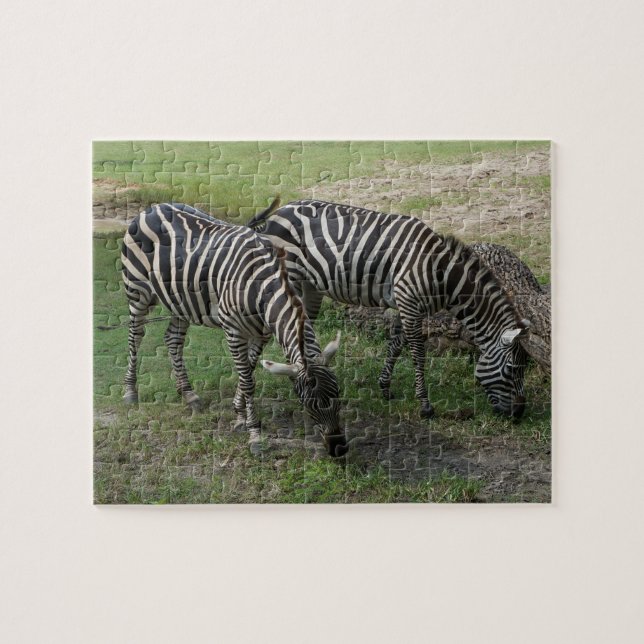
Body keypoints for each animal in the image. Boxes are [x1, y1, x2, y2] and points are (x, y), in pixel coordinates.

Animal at [121, 202, 348, 457]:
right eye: (310, 404)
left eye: (338, 393)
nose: (339, 448)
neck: (262, 285)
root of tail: (152, 208)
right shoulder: (233, 331)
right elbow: (248, 380)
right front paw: (254, 434)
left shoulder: (261, 333)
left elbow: (248, 370)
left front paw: (239, 413)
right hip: (137, 290)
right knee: (135, 336)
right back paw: (130, 391)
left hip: (180, 300)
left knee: (173, 340)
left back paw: (189, 394)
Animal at [247, 199, 531, 420]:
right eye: (511, 370)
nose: (519, 414)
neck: (441, 274)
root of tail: (279, 212)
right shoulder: (408, 301)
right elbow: (417, 353)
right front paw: (425, 406)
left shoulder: (410, 306)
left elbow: (396, 344)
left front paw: (384, 388)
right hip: (288, 278)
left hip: (310, 286)